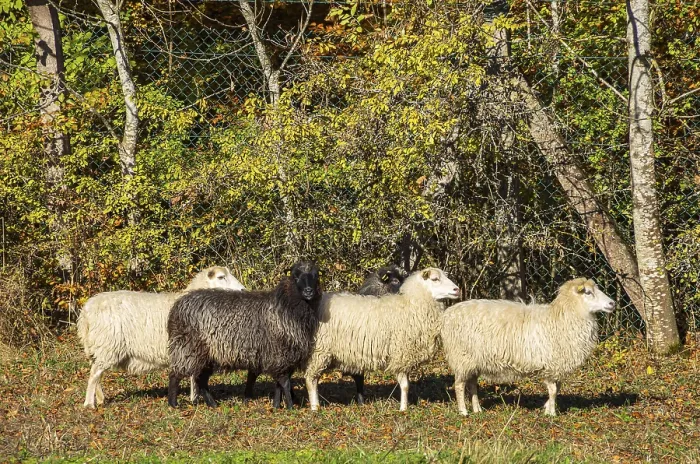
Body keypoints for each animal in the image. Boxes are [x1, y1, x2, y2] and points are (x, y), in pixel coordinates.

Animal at [78, 266, 245, 408]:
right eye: (221, 277)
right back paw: (89, 404)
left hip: (98, 347)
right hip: (107, 345)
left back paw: (100, 399)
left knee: (96, 371)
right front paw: (194, 398)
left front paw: (194, 398)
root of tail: (87, 311)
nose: (243, 289)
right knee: (94, 374)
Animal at [167, 261, 322, 409]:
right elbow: (285, 383)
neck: (285, 305)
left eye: (316, 276)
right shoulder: (279, 354)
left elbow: (279, 384)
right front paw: (289, 407)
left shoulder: (284, 358)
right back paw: (173, 404)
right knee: (175, 374)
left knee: (202, 380)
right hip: (187, 348)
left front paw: (277, 406)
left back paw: (213, 404)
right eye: (296, 276)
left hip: (207, 355)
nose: (309, 291)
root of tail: (177, 306)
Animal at [305, 267, 461, 411]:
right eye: (435, 279)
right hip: (319, 351)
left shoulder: (405, 356)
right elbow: (405, 386)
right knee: (310, 379)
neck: (412, 305)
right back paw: (315, 407)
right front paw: (403, 409)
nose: (457, 289)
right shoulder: (400, 353)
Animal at [440, 278, 615, 416]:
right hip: (462, 357)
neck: (562, 317)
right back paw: (463, 411)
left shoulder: (556, 366)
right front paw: (551, 413)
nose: (612, 303)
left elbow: (557, 388)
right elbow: (553, 390)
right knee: (459, 385)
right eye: (588, 292)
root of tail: (448, 314)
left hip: (474, 360)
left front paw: (547, 407)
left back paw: (477, 409)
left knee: (471, 384)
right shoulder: (550, 365)